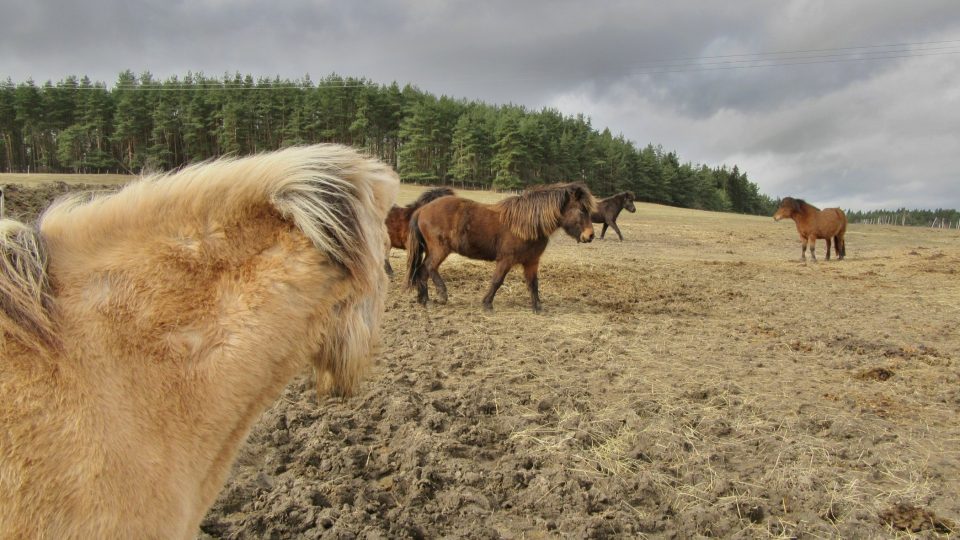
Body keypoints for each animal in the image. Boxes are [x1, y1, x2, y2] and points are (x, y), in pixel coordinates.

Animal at [406, 184, 600, 314]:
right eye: (581, 210)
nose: (590, 235)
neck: (526, 224)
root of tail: (422, 210)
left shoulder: (532, 261)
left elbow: (533, 284)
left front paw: (538, 307)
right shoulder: (506, 259)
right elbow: (497, 281)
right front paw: (487, 304)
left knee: (422, 271)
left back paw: (425, 300)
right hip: (440, 250)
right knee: (430, 267)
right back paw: (442, 294)